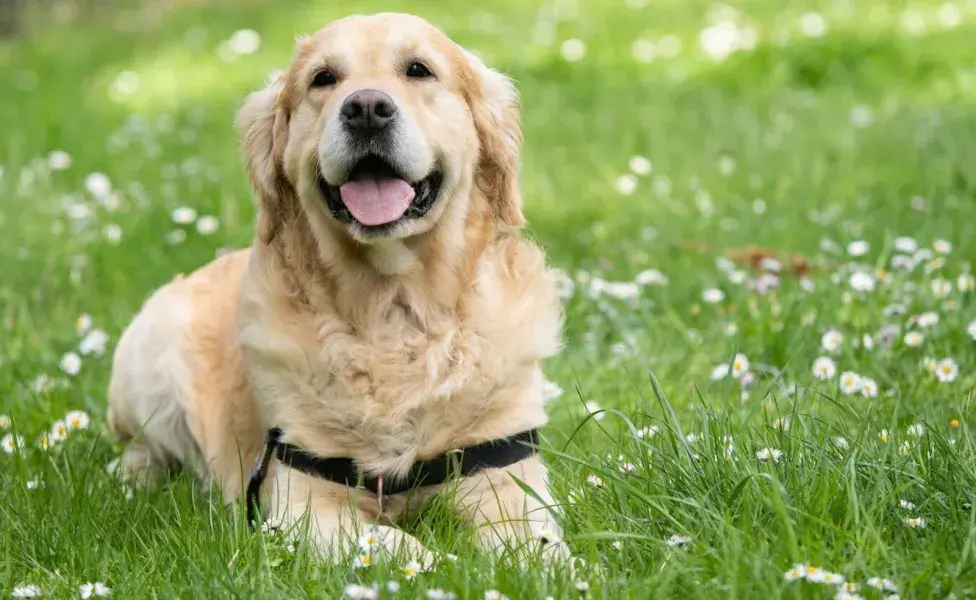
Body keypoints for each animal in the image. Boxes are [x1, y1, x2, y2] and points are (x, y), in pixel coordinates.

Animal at [106, 12, 564, 564]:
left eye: (419, 70)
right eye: (323, 79)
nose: (366, 108)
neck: (393, 312)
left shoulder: (505, 475)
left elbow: (535, 546)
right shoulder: (300, 504)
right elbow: (397, 545)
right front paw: (442, 563)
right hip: (150, 354)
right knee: (142, 447)